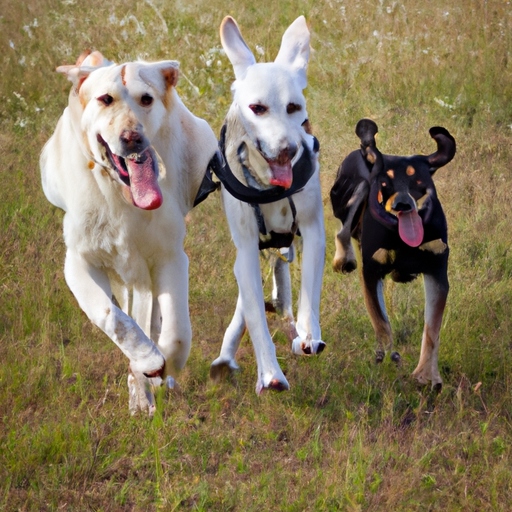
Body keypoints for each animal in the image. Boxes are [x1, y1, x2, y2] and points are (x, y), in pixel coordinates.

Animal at [39, 50, 216, 414]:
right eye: (105, 99)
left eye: (146, 99)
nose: (132, 137)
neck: (122, 195)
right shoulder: (78, 262)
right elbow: (111, 316)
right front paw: (147, 361)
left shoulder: (170, 257)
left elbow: (175, 330)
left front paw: (163, 367)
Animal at [209, 16, 326, 392]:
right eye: (257, 108)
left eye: (294, 108)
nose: (288, 150)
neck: (268, 187)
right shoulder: (246, 252)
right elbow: (256, 320)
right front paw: (271, 372)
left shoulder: (313, 231)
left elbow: (308, 295)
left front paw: (308, 334)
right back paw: (226, 355)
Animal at [332, 119, 456, 392]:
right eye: (384, 182)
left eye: (417, 179)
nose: (402, 205)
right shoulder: (371, 272)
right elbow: (382, 323)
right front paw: (388, 359)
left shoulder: (437, 272)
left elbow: (432, 330)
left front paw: (427, 377)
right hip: (354, 191)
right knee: (342, 232)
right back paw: (343, 259)